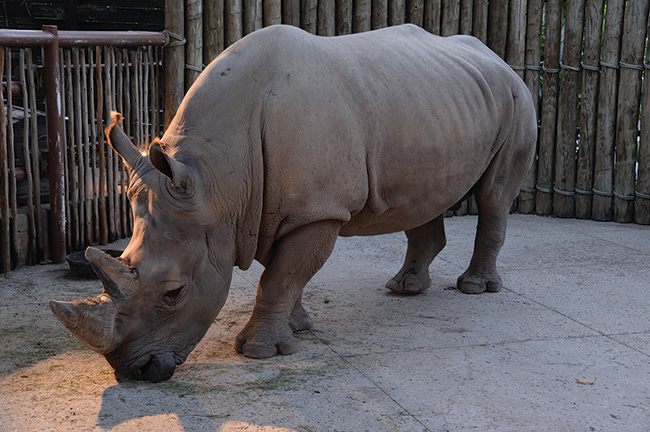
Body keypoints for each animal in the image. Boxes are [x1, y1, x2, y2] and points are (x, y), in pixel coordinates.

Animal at [50, 24, 536, 382]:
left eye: (174, 293)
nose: (136, 371)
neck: (217, 179)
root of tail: (497, 58)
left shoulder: (318, 209)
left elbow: (280, 278)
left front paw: (259, 352)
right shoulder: (267, 206)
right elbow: (284, 273)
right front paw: (299, 326)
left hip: (515, 97)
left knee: (494, 195)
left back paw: (474, 288)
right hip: (438, 104)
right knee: (421, 197)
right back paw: (405, 288)